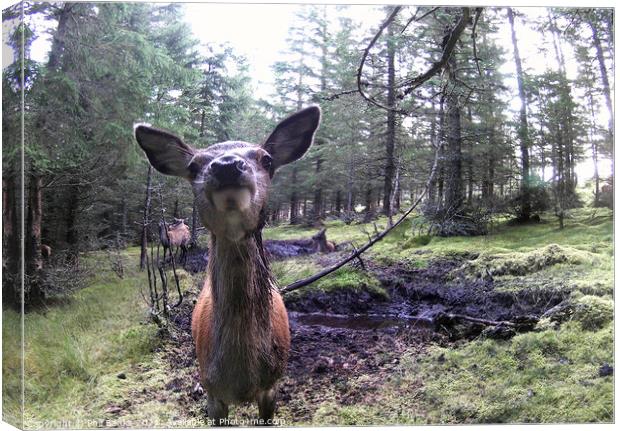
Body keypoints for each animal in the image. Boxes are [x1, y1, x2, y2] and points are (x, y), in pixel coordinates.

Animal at [134, 105, 320, 426]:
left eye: (267, 159)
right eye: (193, 166)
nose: (227, 165)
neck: (241, 378)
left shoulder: (272, 385)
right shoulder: (212, 391)